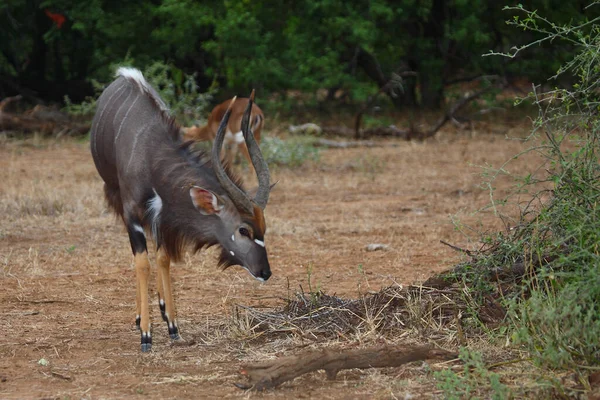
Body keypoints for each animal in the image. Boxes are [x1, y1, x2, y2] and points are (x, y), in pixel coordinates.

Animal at [89, 69, 272, 354]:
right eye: (243, 229)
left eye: (264, 228)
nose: (265, 272)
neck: (151, 155)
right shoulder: (132, 213)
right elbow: (142, 263)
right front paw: (146, 334)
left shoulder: (164, 218)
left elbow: (163, 259)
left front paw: (173, 325)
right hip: (115, 194)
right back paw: (141, 318)